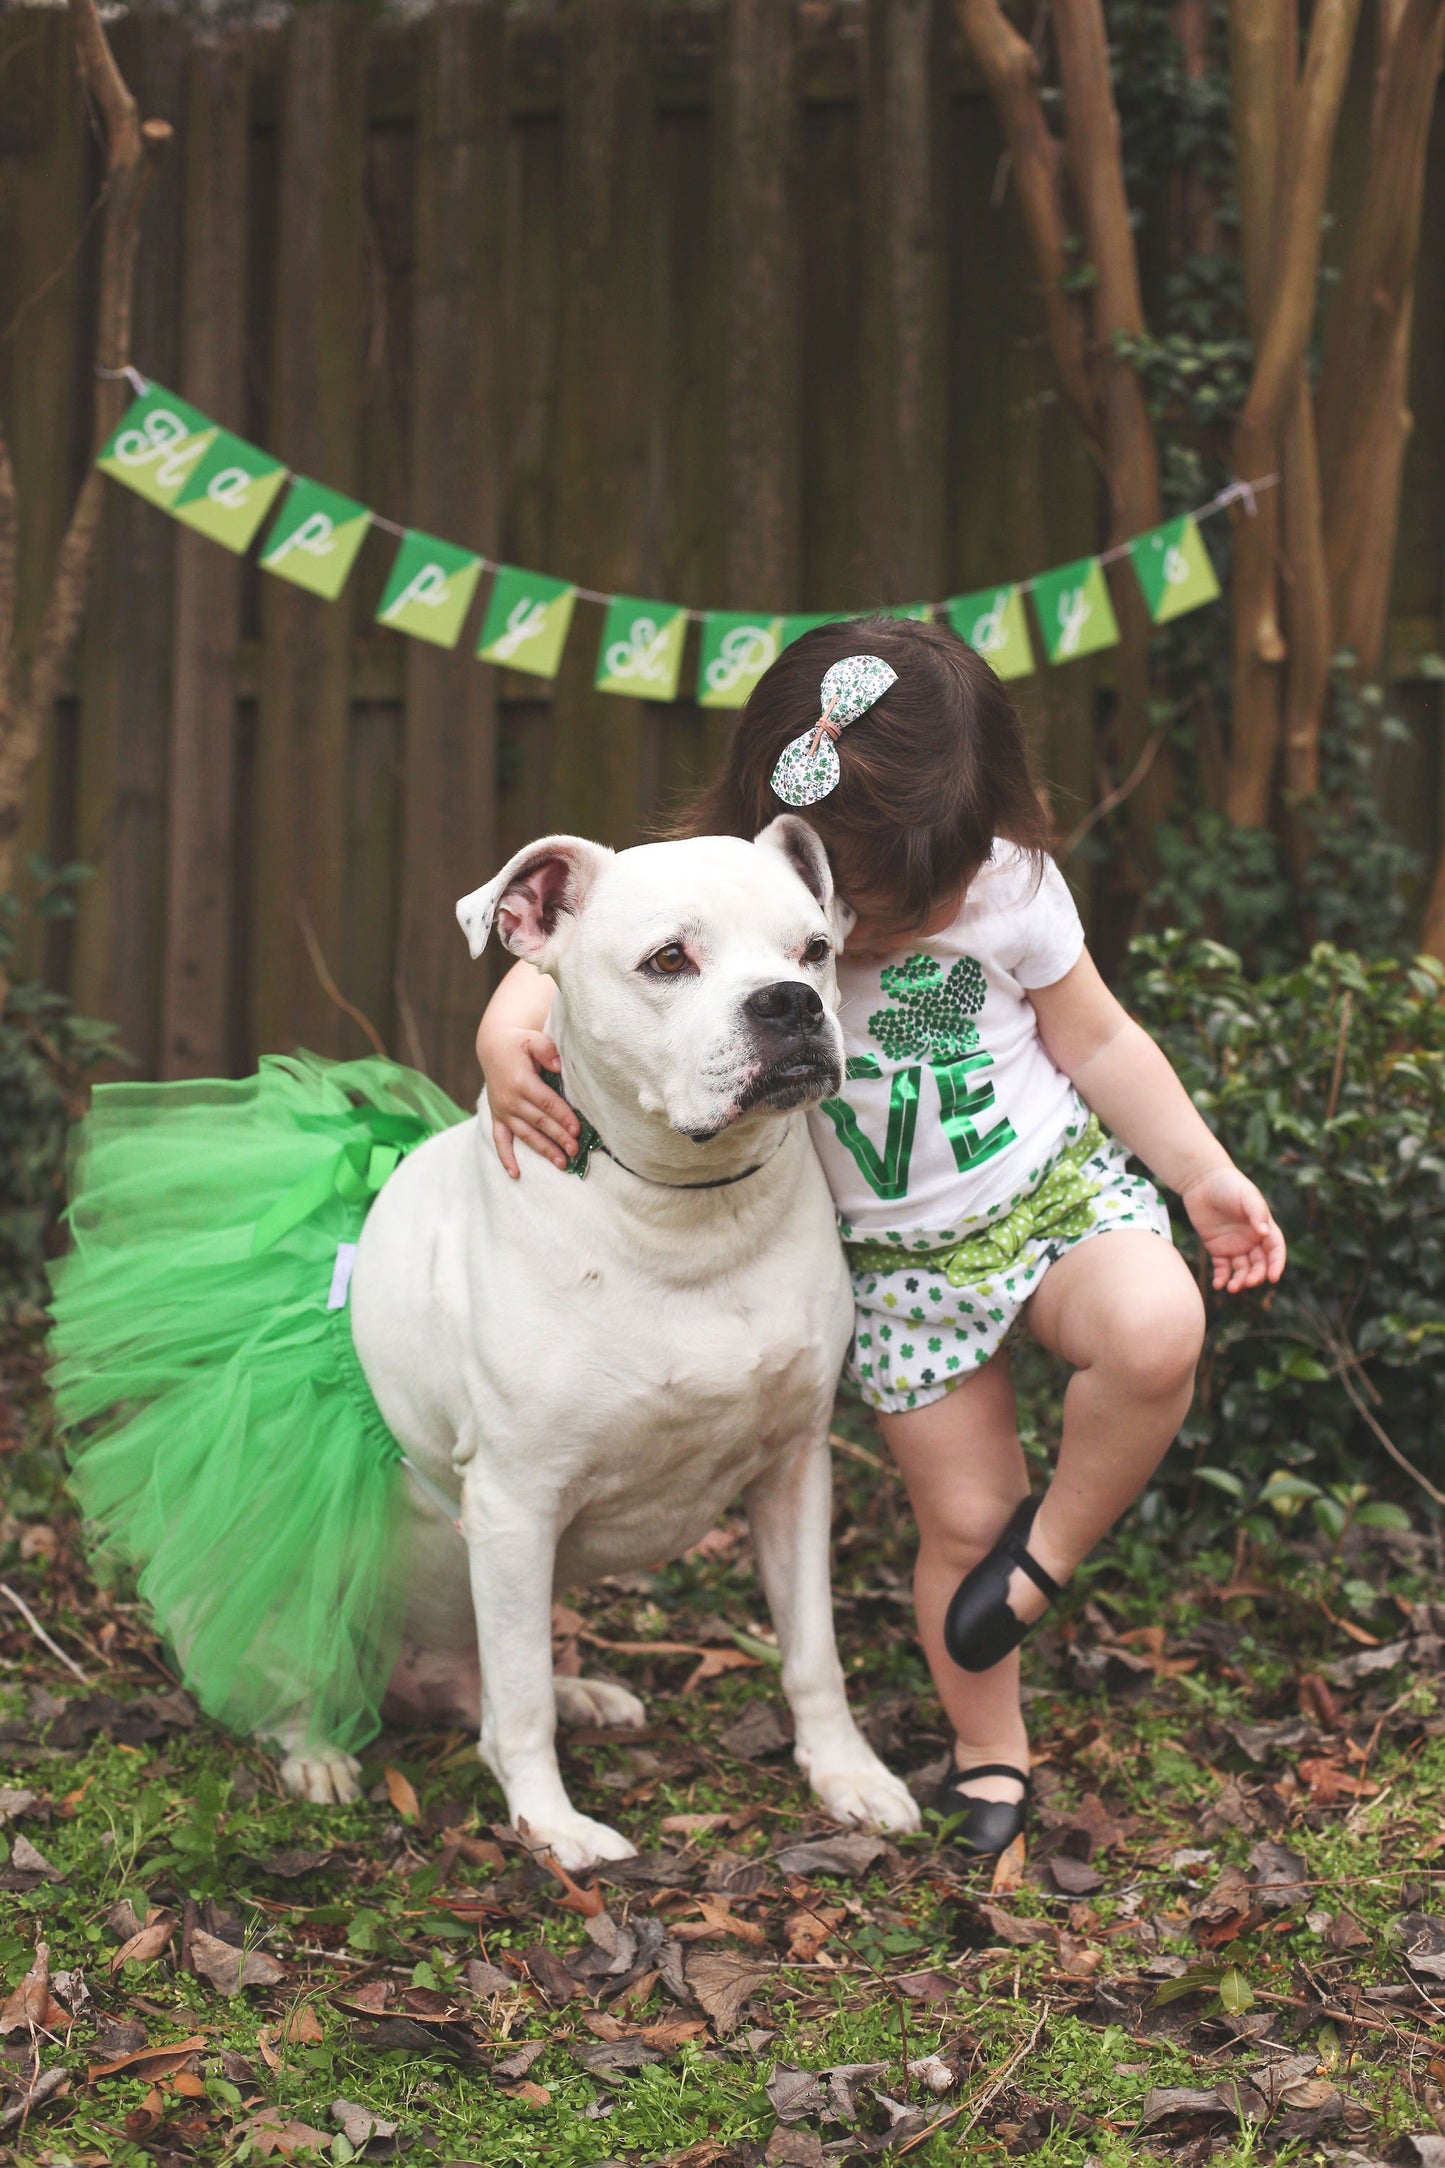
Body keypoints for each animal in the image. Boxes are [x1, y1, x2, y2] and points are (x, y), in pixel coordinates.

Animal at [311, 815, 922, 1864]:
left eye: (815, 948)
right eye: (669, 959)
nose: (791, 1002)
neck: (689, 1213)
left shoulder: (794, 1470)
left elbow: (812, 1649)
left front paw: (846, 1774)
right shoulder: (514, 1504)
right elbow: (516, 1706)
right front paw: (551, 1825)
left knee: (489, 1674)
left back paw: (578, 1693)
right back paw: (310, 1750)